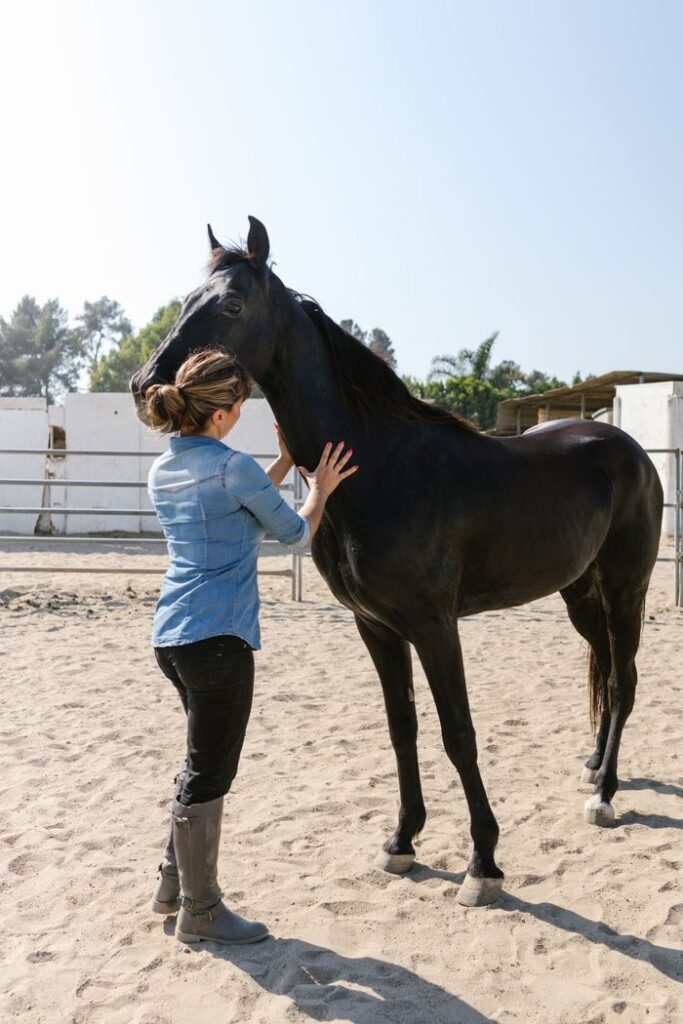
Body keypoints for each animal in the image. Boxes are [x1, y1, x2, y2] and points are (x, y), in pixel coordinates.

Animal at [131, 217, 663, 907]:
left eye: (231, 305)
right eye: (189, 299)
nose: (146, 386)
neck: (377, 467)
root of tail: (628, 448)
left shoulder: (435, 626)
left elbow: (458, 732)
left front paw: (483, 863)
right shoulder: (377, 627)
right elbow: (401, 726)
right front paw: (402, 841)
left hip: (626, 590)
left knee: (623, 682)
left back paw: (604, 796)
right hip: (579, 594)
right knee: (601, 670)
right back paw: (594, 769)